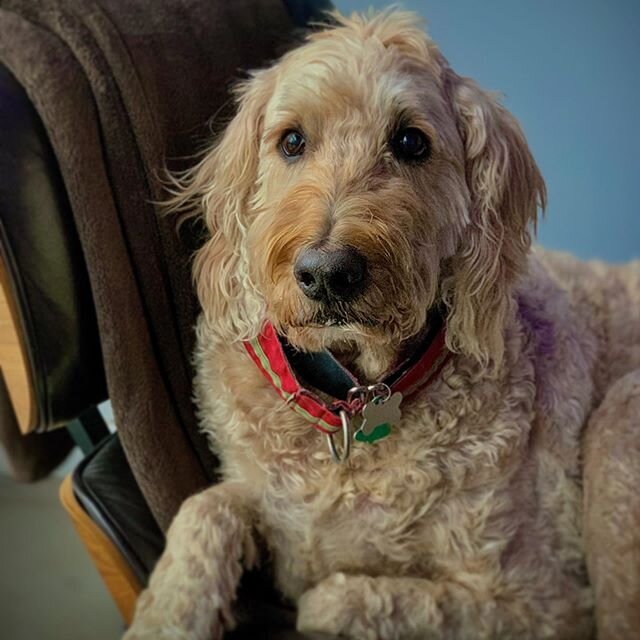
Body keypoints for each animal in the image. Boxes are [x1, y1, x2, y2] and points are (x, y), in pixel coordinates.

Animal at [125, 10, 640, 640]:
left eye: (411, 142)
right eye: (291, 140)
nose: (327, 274)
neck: (353, 397)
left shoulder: (543, 602)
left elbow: (345, 599)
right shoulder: (258, 494)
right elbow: (207, 507)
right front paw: (167, 612)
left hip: (619, 420)